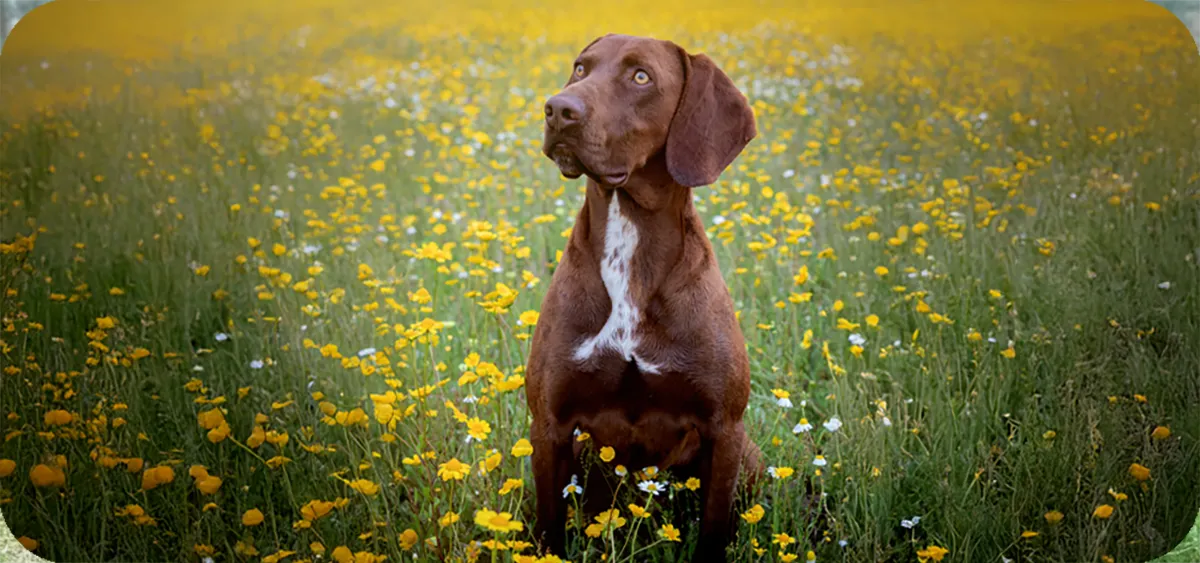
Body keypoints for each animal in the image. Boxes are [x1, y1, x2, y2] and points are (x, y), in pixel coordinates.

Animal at [524, 33, 762, 562]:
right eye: (580, 68)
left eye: (640, 77)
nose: (558, 109)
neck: (629, 243)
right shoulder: (549, 427)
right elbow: (550, 530)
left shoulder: (725, 430)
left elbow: (713, 531)